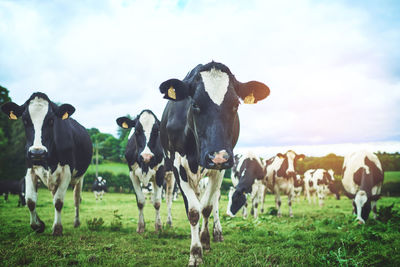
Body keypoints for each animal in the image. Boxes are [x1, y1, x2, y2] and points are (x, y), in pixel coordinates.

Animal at [0, 92, 91, 237]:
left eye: (51, 120)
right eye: (25, 120)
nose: (37, 152)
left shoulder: (66, 171)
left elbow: (59, 202)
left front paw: (57, 228)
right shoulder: (30, 169)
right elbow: (30, 200)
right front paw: (38, 225)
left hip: (80, 178)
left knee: (76, 199)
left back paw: (76, 222)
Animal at [159, 61, 268, 266]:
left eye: (236, 105)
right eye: (195, 104)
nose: (217, 156)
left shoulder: (220, 169)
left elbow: (207, 207)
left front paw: (205, 240)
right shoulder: (178, 166)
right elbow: (193, 210)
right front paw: (195, 253)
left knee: (213, 200)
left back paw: (215, 233)